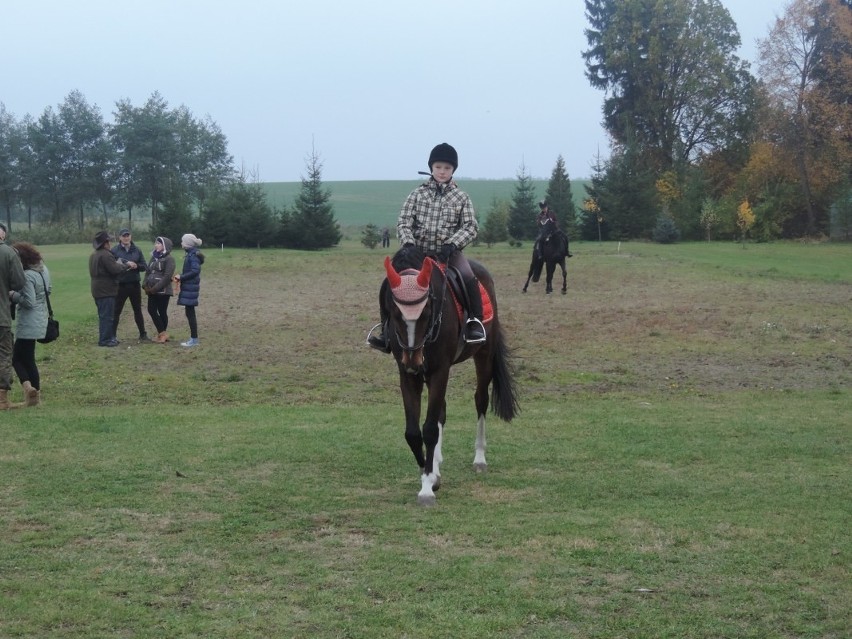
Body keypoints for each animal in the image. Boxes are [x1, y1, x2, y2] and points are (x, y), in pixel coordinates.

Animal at [380, 245, 520, 504]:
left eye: (427, 311)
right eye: (393, 311)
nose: (413, 359)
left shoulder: (439, 370)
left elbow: (429, 429)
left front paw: (427, 487)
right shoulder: (408, 375)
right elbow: (414, 432)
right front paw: (430, 474)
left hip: (483, 356)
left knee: (480, 400)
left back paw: (479, 459)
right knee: (441, 413)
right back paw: (436, 461)